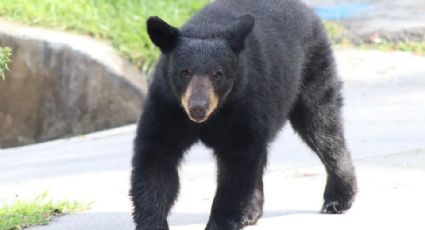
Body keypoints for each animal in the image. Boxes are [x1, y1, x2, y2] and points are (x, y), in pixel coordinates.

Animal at [129, 0, 354, 229]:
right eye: (185, 72)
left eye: (217, 74)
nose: (197, 108)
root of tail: (307, 9)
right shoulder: (167, 107)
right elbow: (156, 159)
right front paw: (152, 222)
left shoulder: (244, 102)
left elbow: (237, 167)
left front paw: (219, 223)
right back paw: (250, 212)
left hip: (312, 72)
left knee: (323, 128)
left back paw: (338, 198)